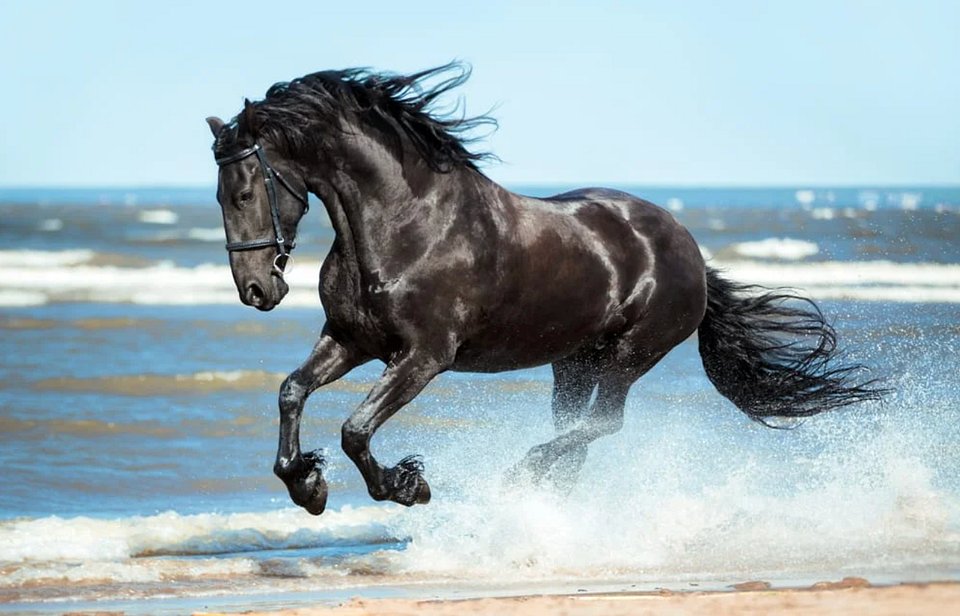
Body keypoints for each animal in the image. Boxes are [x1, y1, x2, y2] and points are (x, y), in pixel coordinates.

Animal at [205, 63, 883, 516]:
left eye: (244, 191)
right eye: (218, 195)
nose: (257, 289)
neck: (405, 223)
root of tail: (687, 247)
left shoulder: (424, 357)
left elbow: (356, 429)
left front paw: (405, 485)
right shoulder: (350, 340)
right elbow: (292, 392)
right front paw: (306, 484)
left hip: (630, 355)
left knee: (602, 425)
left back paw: (522, 474)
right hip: (573, 362)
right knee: (578, 433)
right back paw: (542, 496)